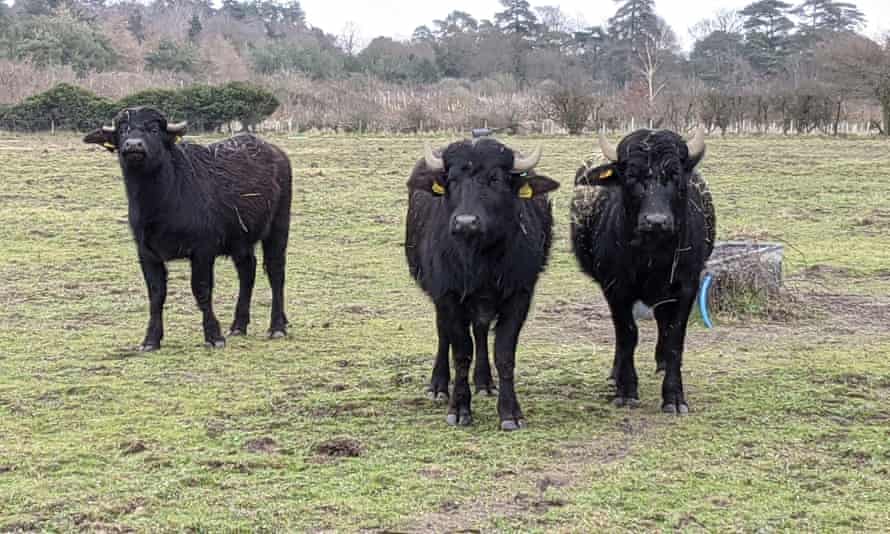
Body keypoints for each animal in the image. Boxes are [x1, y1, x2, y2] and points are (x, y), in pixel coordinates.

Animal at [83, 106, 292, 351]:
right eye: (123, 129)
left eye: (153, 129)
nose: (133, 146)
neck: (159, 203)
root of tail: (277, 153)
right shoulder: (146, 254)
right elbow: (156, 294)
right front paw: (151, 340)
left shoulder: (202, 251)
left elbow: (201, 290)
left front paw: (213, 336)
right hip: (240, 239)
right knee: (247, 270)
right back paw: (238, 326)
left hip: (279, 227)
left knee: (276, 271)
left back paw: (277, 326)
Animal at [405, 138, 559, 430]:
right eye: (452, 179)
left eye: (495, 179)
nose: (466, 222)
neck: (478, 260)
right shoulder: (448, 295)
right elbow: (461, 352)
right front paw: (459, 409)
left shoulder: (519, 295)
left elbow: (504, 354)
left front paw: (510, 413)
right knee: (444, 333)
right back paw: (439, 385)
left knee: (480, 330)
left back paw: (484, 382)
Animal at [571, 128, 715, 414]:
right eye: (631, 176)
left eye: (674, 175)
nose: (656, 221)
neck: (653, 256)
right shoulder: (615, 289)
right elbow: (628, 335)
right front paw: (626, 390)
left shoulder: (686, 287)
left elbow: (674, 339)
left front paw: (674, 396)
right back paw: (615, 374)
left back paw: (661, 365)